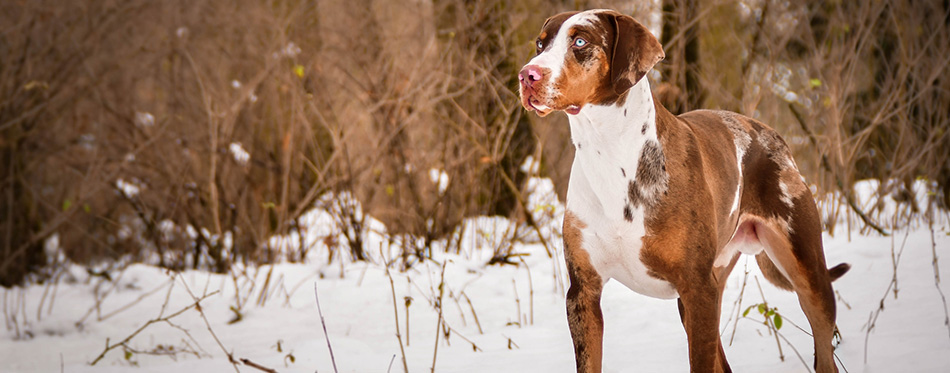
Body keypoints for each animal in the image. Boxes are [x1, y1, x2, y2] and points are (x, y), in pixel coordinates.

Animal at [520, 8, 856, 372]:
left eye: (580, 41)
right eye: (540, 44)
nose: (527, 75)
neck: (609, 152)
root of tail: (771, 134)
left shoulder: (697, 288)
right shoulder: (583, 293)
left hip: (808, 276)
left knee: (823, 345)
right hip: (708, 288)